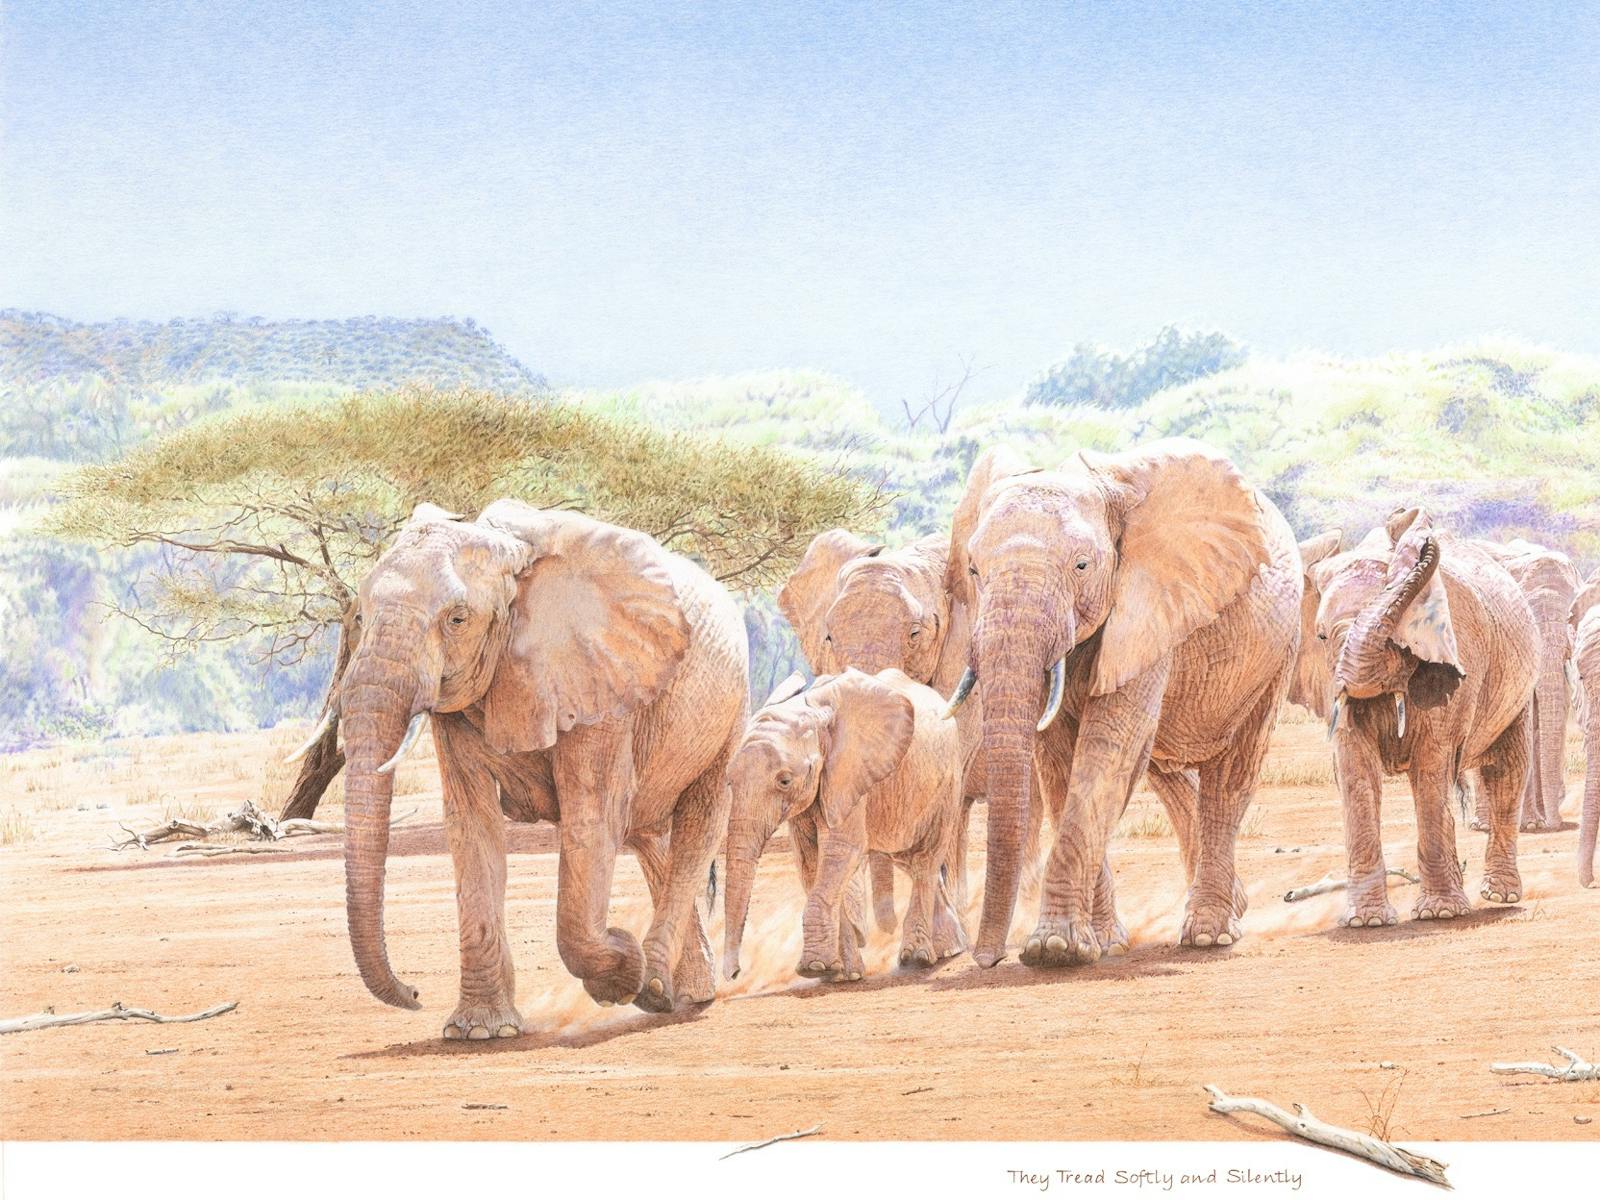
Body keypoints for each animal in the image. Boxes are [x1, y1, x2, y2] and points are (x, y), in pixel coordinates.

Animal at [311, 500, 748, 1038]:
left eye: (458, 619)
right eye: (358, 615)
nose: (414, 993)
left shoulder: (598, 679)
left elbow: (592, 815)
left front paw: (622, 967)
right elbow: (471, 824)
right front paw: (479, 1032)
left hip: (731, 707)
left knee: (698, 823)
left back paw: (656, 988)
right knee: (650, 836)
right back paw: (684, 991)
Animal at [722, 668, 966, 982]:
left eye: (784, 781)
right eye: (729, 781)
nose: (734, 974)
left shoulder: (849, 774)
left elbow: (841, 851)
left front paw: (814, 968)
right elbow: (810, 864)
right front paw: (844, 973)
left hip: (948, 781)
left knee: (926, 859)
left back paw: (918, 959)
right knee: (910, 860)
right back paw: (950, 950)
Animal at [944, 437, 1301, 969]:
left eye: (1081, 566)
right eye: (972, 569)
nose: (986, 959)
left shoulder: (1150, 606)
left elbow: (1105, 750)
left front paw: (1053, 950)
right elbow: (1059, 763)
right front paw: (1101, 942)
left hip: (1277, 651)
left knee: (1231, 774)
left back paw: (1210, 934)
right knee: (1163, 769)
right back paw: (1231, 907)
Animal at [1304, 508, 1538, 926]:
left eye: (1399, 638)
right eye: (1321, 638)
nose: (1406, 515)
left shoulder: (1457, 659)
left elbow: (1432, 765)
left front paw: (1441, 914)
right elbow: (1354, 770)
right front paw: (1367, 922)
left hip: (1518, 684)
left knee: (1507, 769)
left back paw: (1500, 895)